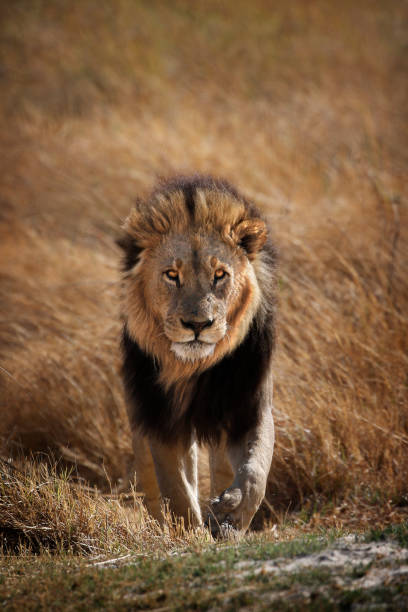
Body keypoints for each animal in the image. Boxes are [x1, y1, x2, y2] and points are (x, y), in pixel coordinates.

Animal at [118, 175, 278, 532]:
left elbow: (255, 472)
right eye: (171, 275)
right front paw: (189, 533)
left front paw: (232, 513)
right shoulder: (161, 418)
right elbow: (176, 489)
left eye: (219, 275)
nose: (197, 325)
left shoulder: (249, 405)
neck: (195, 367)